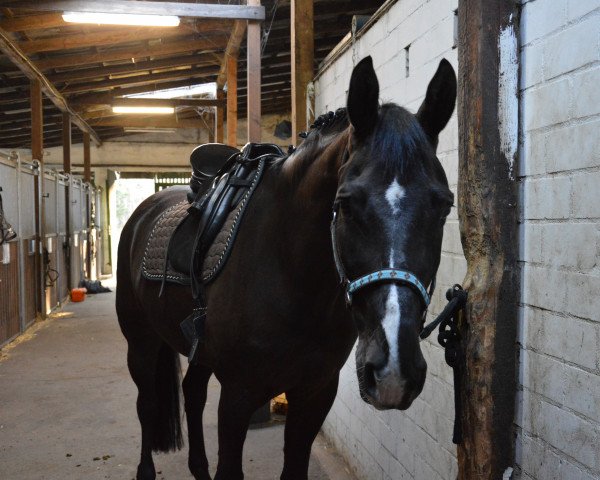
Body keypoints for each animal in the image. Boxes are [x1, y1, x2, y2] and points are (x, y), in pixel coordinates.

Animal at [116, 57, 454, 480]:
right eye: (345, 203)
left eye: (444, 205)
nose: (394, 369)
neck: (292, 274)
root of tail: (144, 211)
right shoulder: (238, 395)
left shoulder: (314, 392)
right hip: (141, 342)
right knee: (146, 404)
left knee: (192, 394)